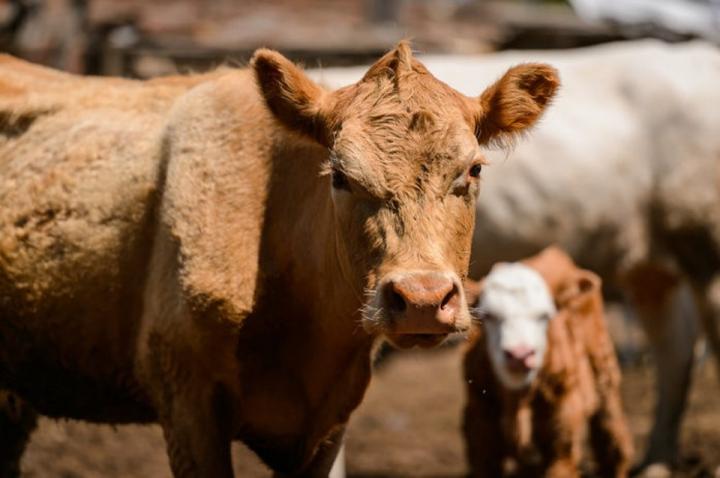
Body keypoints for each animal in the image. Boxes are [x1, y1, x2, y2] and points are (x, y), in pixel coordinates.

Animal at [463, 247, 633, 477]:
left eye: (544, 316)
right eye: (489, 316)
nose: (519, 355)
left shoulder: (562, 445)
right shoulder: (481, 437)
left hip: (604, 370)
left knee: (612, 439)